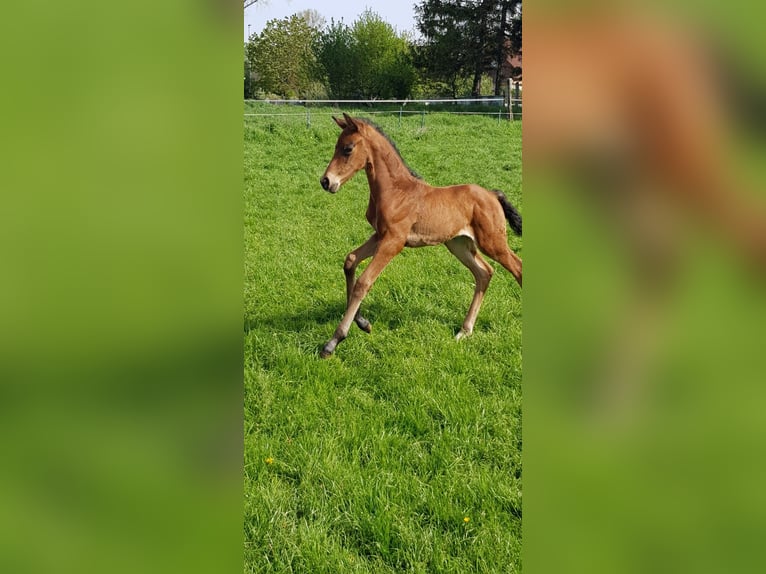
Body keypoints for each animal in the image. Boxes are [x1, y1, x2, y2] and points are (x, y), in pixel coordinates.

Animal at [318, 113, 520, 360]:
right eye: (336, 146)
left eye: (347, 149)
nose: (326, 181)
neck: (396, 190)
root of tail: (492, 194)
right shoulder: (380, 236)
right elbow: (350, 260)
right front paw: (363, 322)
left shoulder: (394, 241)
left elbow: (364, 282)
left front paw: (333, 342)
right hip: (459, 244)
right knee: (484, 272)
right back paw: (464, 331)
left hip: (492, 242)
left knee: (517, 268)